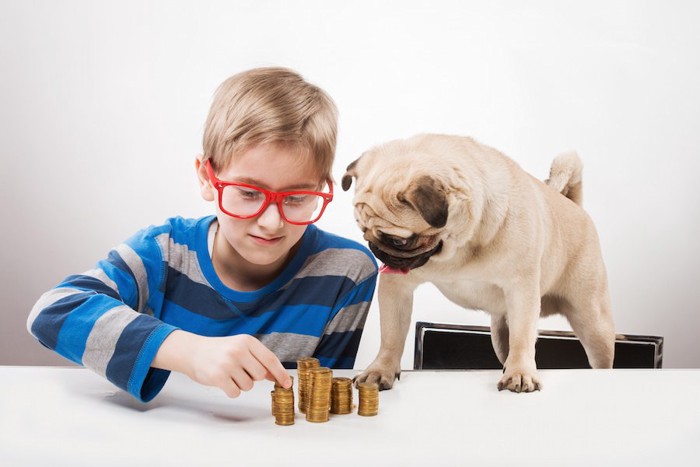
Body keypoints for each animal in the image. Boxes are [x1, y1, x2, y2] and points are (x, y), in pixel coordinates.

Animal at [344, 133, 612, 394]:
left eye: (399, 241)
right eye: (363, 231)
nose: (377, 249)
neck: (458, 247)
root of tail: (573, 204)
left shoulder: (522, 290)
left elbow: (522, 338)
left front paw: (521, 372)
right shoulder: (397, 288)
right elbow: (391, 336)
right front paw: (381, 370)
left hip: (593, 322)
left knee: (600, 358)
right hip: (500, 333)